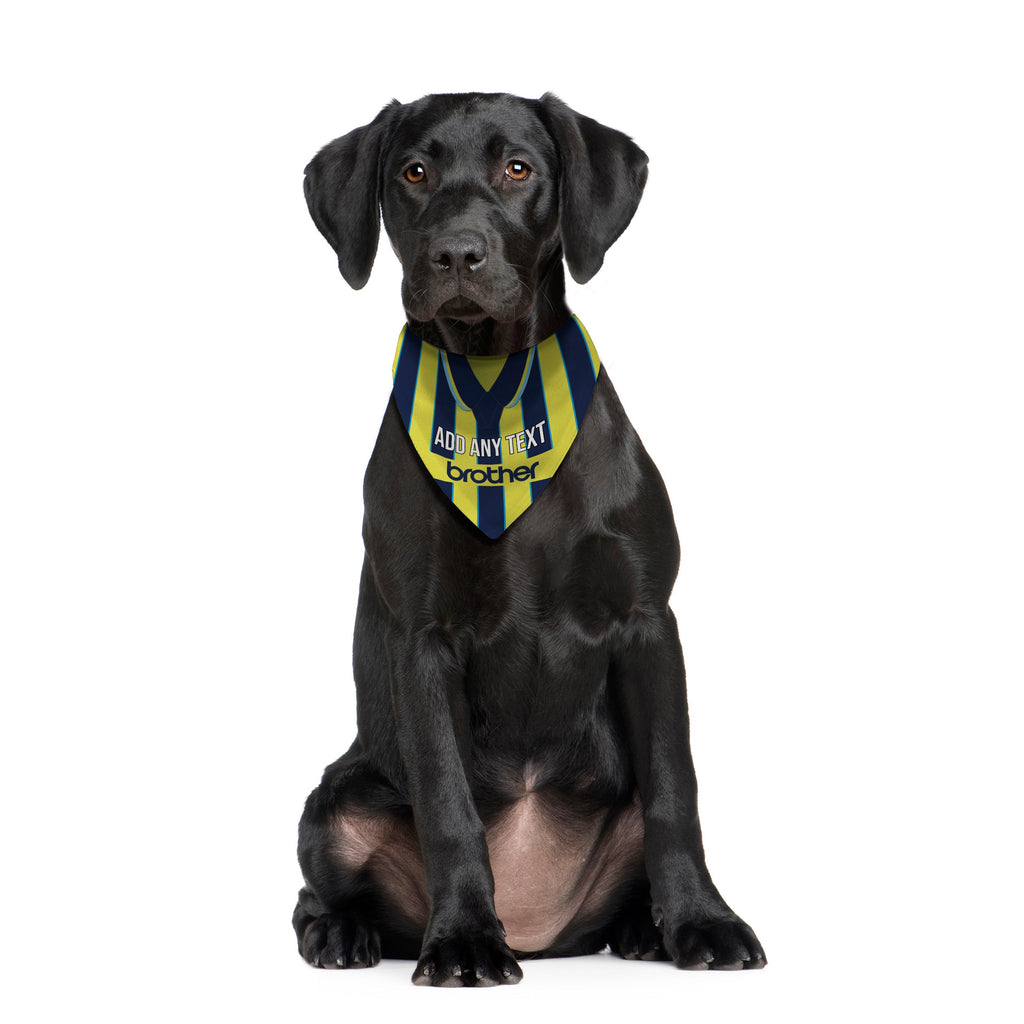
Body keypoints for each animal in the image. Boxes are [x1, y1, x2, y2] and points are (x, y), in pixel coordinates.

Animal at [293, 92, 766, 986]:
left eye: (519, 168)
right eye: (414, 172)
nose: (456, 252)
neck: (495, 400)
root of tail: (543, 929)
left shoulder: (648, 622)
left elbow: (676, 792)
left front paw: (702, 921)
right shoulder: (422, 640)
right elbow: (448, 804)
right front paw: (464, 938)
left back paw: (645, 927)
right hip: (335, 797)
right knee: (319, 883)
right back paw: (344, 932)